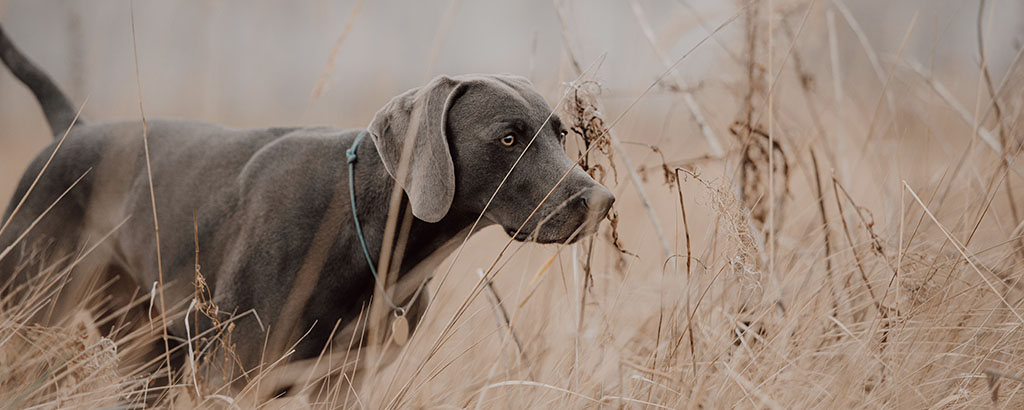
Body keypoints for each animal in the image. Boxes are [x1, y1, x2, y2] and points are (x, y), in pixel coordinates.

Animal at [0, 23, 610, 391]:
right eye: (508, 138)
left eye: (560, 135)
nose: (601, 201)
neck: (361, 233)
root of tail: (73, 129)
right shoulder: (231, 376)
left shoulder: (341, 382)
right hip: (30, 309)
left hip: (147, 354)